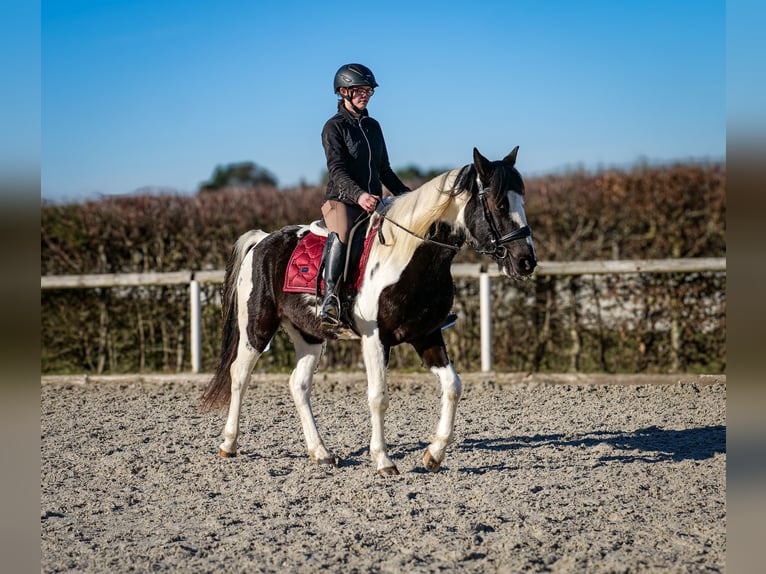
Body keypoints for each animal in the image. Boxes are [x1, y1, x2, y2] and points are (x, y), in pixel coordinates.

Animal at [204, 147, 540, 476]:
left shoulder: (427, 335)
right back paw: (229, 444)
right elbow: (378, 397)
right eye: (498, 203)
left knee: (298, 385)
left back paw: (321, 453)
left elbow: (453, 387)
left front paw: (434, 455)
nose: (526, 261)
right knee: (239, 375)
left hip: (309, 335)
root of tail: (262, 240)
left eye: (522, 200)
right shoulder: (375, 338)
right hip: (257, 327)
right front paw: (383, 460)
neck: (409, 257)